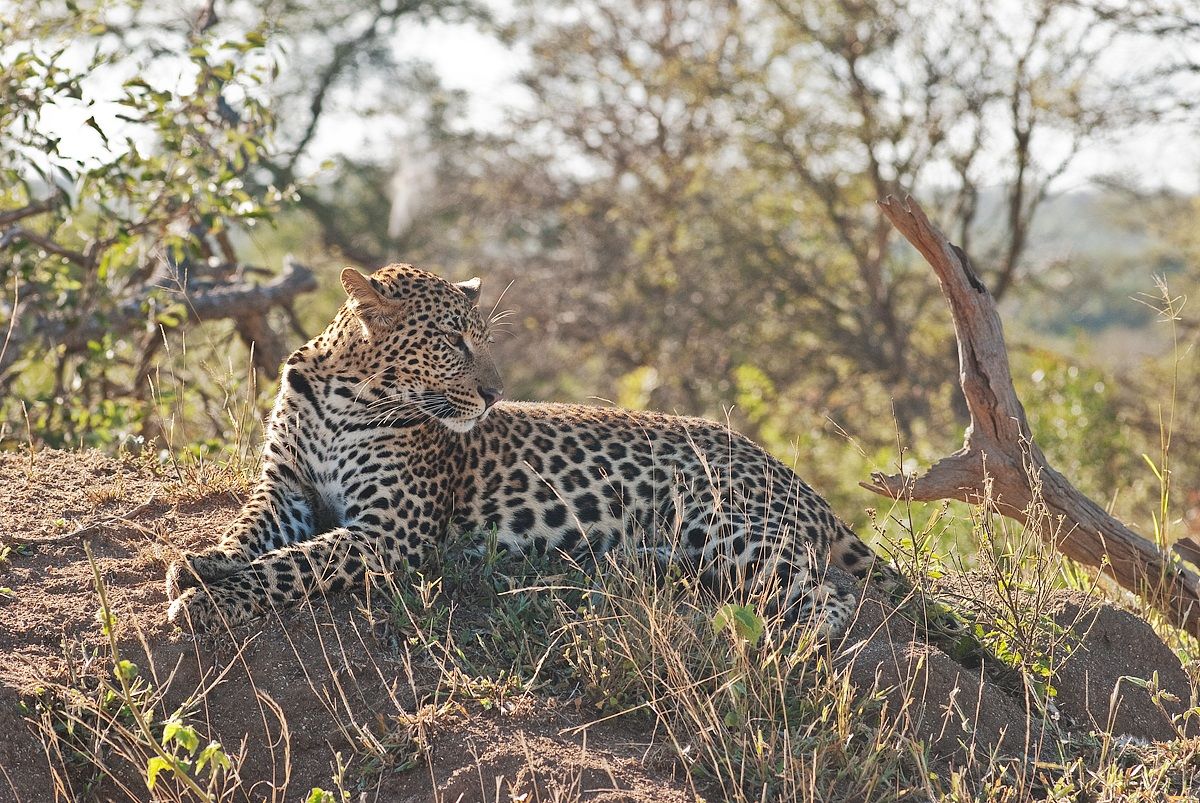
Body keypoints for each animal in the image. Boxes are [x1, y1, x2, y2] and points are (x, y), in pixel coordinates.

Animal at [166, 263, 885, 636]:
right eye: (453, 341)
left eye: (482, 337)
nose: (494, 393)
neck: (348, 393)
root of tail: (795, 477)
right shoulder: (285, 486)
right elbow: (247, 530)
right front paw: (202, 564)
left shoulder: (390, 529)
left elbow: (295, 563)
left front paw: (213, 598)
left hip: (721, 517)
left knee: (832, 589)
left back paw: (797, 639)